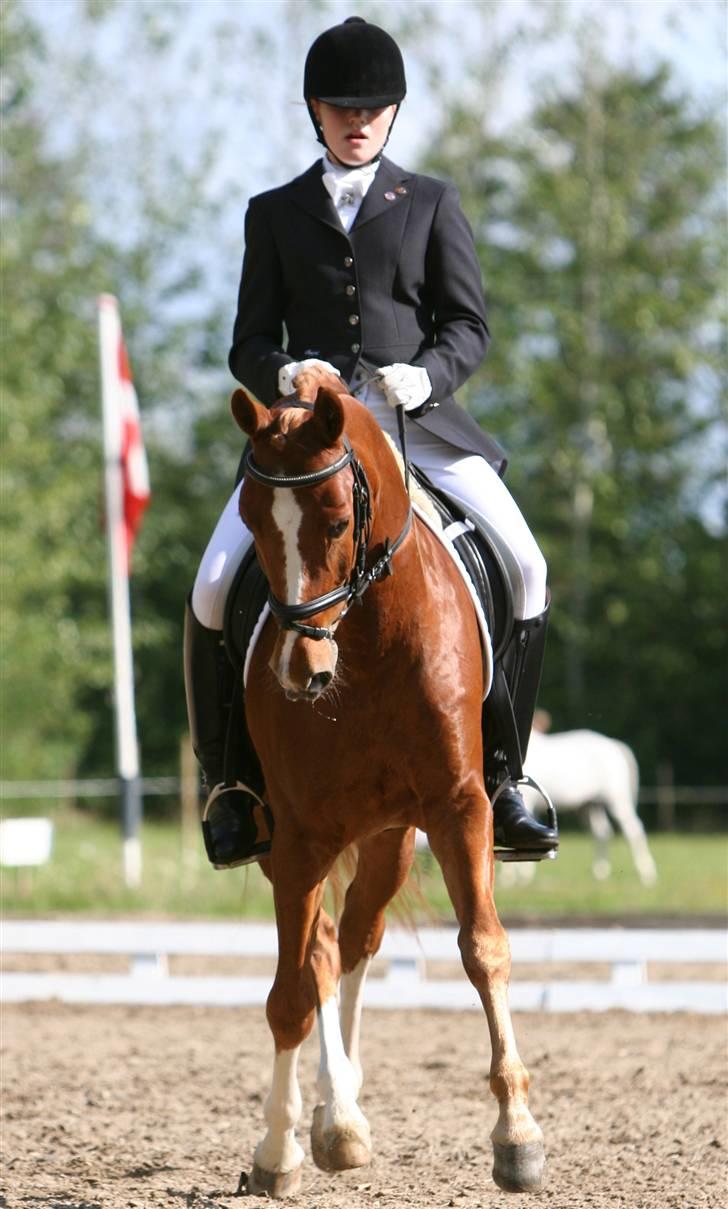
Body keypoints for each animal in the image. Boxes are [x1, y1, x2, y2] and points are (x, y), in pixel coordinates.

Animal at [227, 368, 546, 1198]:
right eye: (250, 518)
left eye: (339, 519)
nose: (300, 671)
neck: (366, 644)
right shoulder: (300, 835)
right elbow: (289, 994)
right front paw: (277, 1150)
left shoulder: (459, 806)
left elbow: (484, 948)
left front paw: (518, 1135)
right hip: (292, 842)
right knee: (320, 955)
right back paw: (328, 1123)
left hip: (392, 838)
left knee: (357, 938)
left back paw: (338, 1111)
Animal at [521, 713, 657, 886]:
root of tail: (614, 745)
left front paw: (517, 877)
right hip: (592, 805)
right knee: (602, 832)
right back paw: (600, 872)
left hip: (617, 801)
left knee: (633, 831)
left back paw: (647, 874)